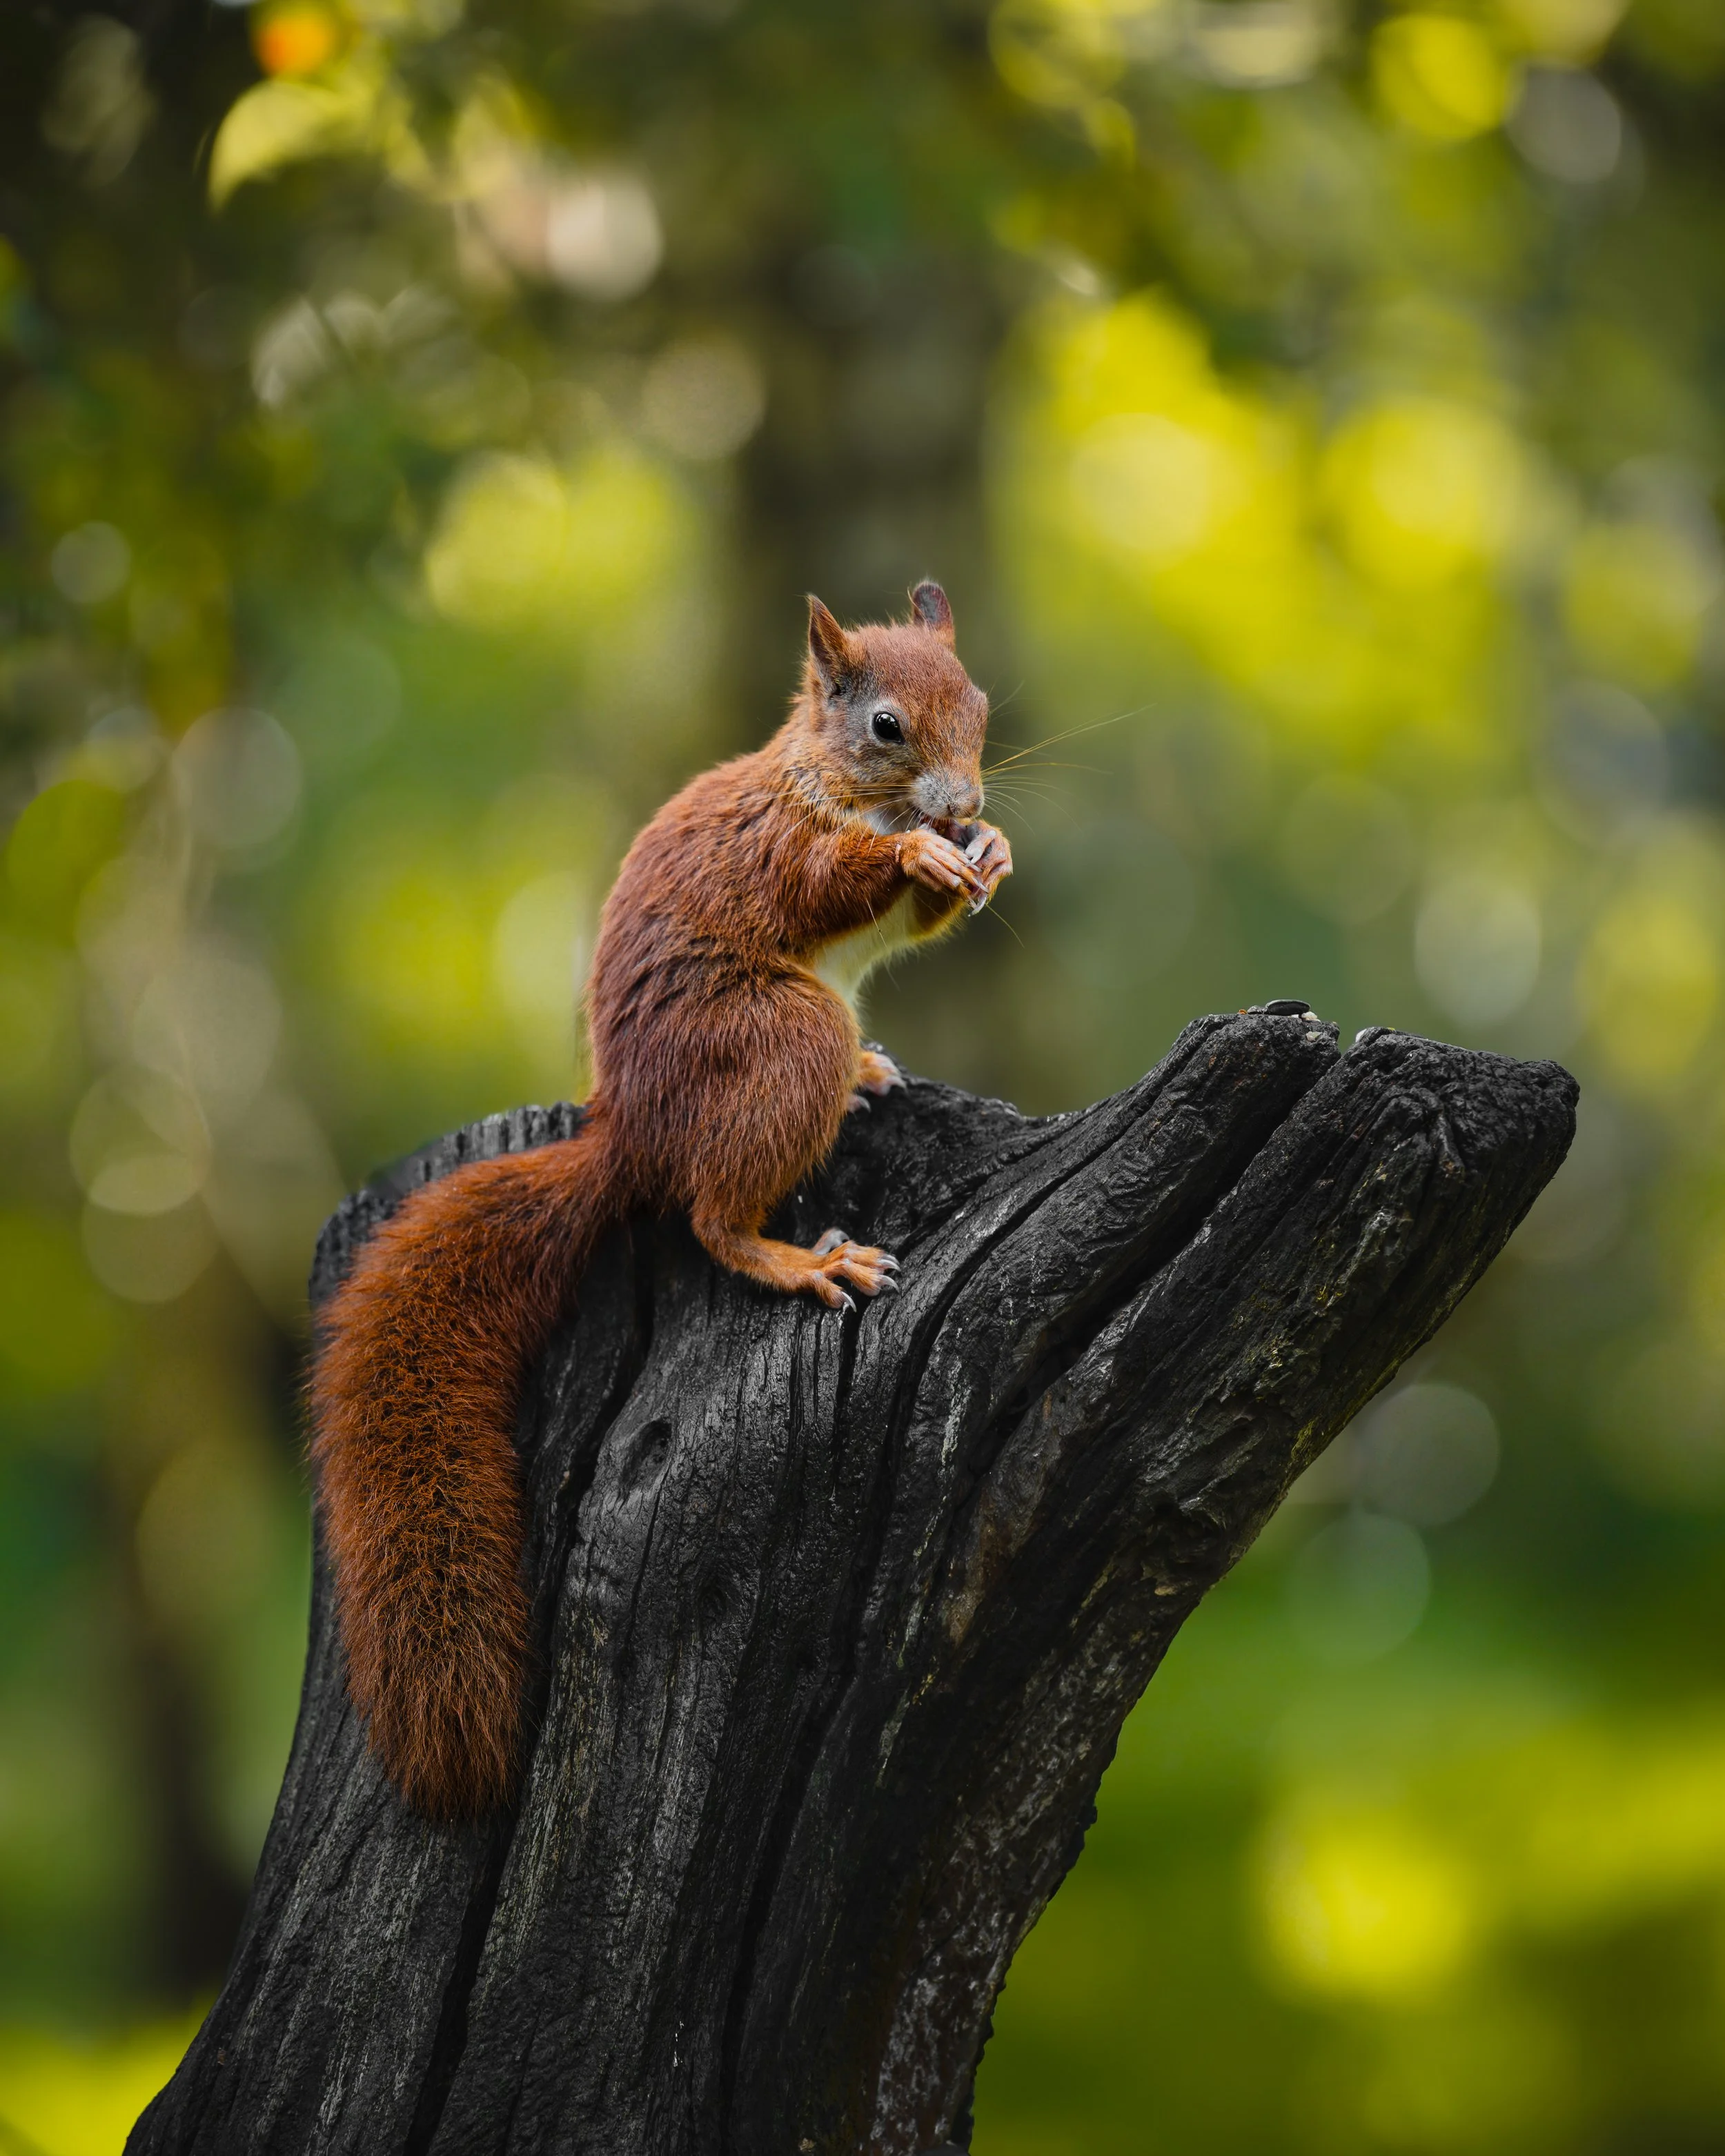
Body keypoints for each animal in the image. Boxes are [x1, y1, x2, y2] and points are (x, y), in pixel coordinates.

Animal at [310, 580, 1012, 1819]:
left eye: (979, 704)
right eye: (886, 726)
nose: (968, 804)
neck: (823, 780)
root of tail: (627, 1136)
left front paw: (994, 851)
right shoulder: (779, 848)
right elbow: (831, 881)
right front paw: (924, 854)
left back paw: (870, 1074)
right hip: (781, 1039)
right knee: (710, 1221)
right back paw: (800, 1257)